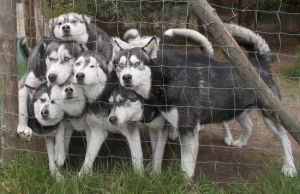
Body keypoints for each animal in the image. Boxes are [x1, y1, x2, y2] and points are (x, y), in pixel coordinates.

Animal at [113, 26, 298, 178]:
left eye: (137, 64)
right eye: (120, 66)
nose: (126, 77)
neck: (164, 78)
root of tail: (258, 64)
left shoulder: (187, 128)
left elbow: (186, 164)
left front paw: (184, 182)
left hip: (270, 114)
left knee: (285, 139)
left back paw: (289, 167)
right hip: (237, 110)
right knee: (249, 125)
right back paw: (241, 142)